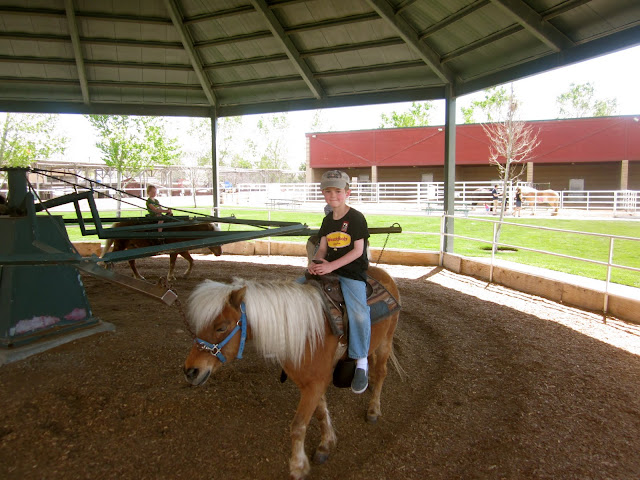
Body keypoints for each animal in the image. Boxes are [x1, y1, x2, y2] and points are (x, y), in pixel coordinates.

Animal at [183, 266, 400, 480]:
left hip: (385, 342)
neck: (304, 333)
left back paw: (373, 409)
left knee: (381, 373)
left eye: (221, 327)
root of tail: (384, 273)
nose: (191, 371)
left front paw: (298, 466)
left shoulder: (314, 385)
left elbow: (297, 426)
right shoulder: (314, 384)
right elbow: (320, 413)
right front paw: (326, 443)